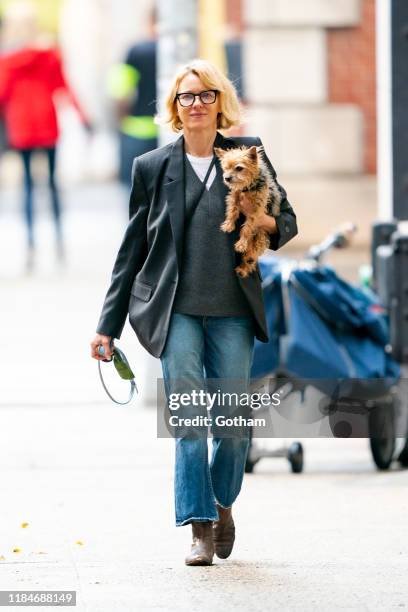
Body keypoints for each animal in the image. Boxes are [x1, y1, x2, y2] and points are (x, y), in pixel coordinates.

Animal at [215, 145, 282, 278]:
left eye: (239, 168)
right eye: (225, 168)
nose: (227, 178)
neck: (248, 187)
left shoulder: (256, 210)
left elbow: (247, 227)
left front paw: (241, 244)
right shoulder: (234, 195)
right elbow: (232, 210)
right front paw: (228, 224)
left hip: (261, 235)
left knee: (254, 250)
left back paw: (247, 262)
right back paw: (242, 268)